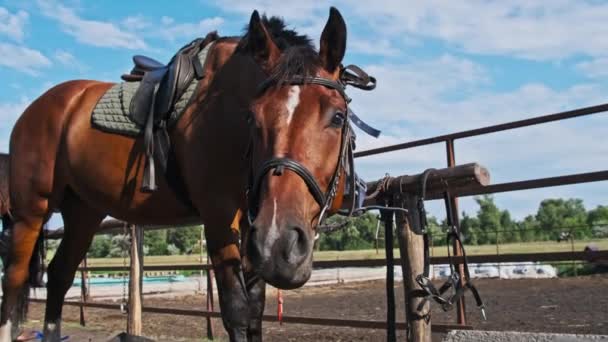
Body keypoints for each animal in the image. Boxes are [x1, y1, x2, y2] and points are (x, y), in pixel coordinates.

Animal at [1, 6, 360, 342]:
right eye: (253, 119)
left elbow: (256, 312)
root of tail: (42, 106)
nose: (281, 245)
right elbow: (238, 312)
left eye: (338, 117)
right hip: (31, 213)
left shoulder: (253, 227)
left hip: (83, 214)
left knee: (59, 276)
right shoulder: (219, 219)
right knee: (14, 280)